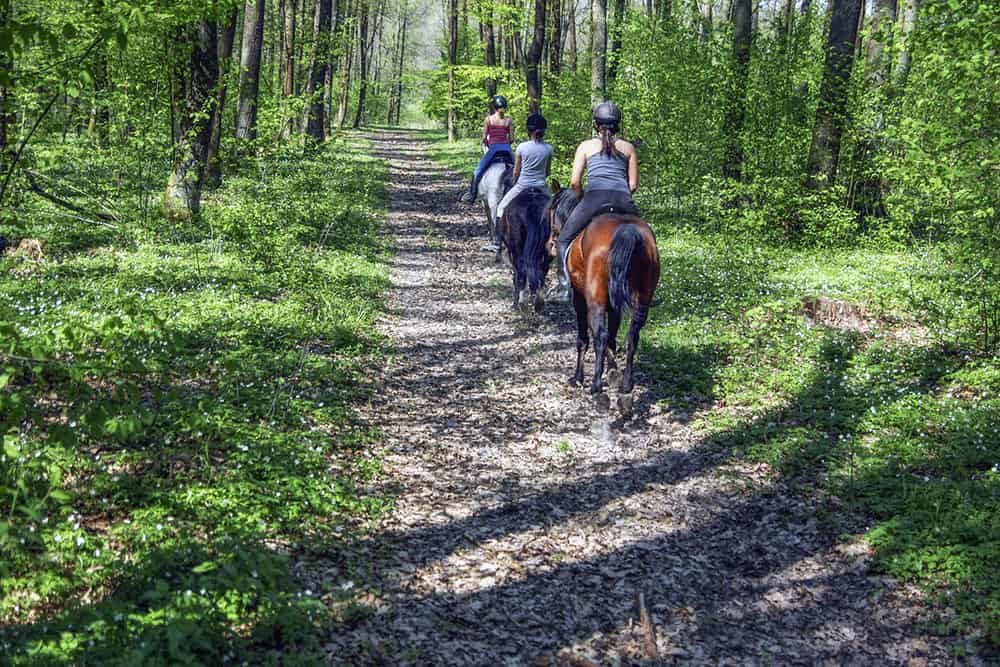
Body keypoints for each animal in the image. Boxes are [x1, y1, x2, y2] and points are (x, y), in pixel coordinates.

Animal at [544, 180, 660, 404]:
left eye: (552, 210)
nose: (549, 244)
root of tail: (626, 229)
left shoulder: (580, 299)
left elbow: (585, 338)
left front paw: (578, 377)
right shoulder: (615, 305)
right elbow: (613, 337)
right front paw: (613, 371)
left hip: (595, 299)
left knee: (600, 335)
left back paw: (596, 386)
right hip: (642, 298)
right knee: (632, 336)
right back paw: (626, 384)